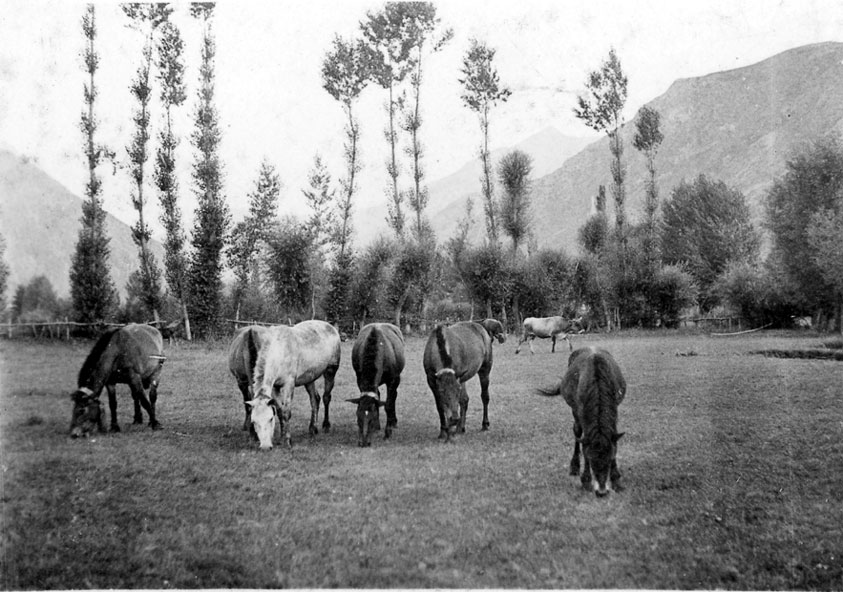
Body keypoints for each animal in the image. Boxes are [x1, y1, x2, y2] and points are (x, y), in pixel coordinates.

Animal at [249, 320, 342, 448]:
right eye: (253, 421)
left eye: (270, 419)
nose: (265, 447)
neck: (279, 350)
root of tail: (331, 327)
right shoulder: (275, 387)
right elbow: (280, 411)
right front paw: (281, 438)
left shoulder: (289, 384)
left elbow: (286, 412)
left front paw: (288, 440)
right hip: (309, 379)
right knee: (315, 399)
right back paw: (313, 429)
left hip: (330, 371)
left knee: (326, 397)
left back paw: (326, 425)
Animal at [536, 346, 628, 494]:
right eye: (590, 459)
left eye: (610, 458)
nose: (602, 491)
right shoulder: (581, 412)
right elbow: (584, 443)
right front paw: (585, 480)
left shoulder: (614, 409)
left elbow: (614, 439)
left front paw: (616, 480)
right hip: (574, 410)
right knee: (577, 432)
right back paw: (574, 467)